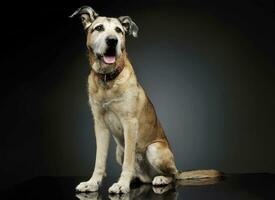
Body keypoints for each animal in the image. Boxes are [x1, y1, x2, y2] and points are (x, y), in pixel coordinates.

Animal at [71, 5, 222, 194]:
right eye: (98, 28)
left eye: (119, 30)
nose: (112, 41)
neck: (108, 79)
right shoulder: (100, 125)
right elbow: (99, 159)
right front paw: (92, 183)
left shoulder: (130, 123)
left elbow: (128, 161)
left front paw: (122, 184)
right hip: (119, 151)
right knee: (142, 175)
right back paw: (136, 179)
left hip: (154, 149)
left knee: (173, 175)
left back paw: (160, 179)